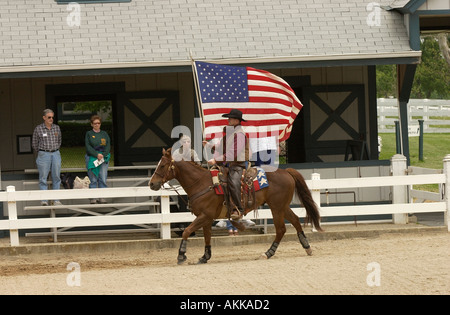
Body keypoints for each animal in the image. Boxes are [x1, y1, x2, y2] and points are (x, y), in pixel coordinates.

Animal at [149, 149, 322, 266]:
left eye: (163, 165)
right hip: (282, 206)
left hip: (277, 208)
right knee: (295, 221)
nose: (151, 184)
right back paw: (307, 247)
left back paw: (267, 253)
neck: (201, 183)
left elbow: (186, 231)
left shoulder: (204, 216)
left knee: (281, 229)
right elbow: (207, 237)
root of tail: (286, 172)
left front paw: (181, 255)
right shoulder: (207, 218)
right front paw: (205, 257)